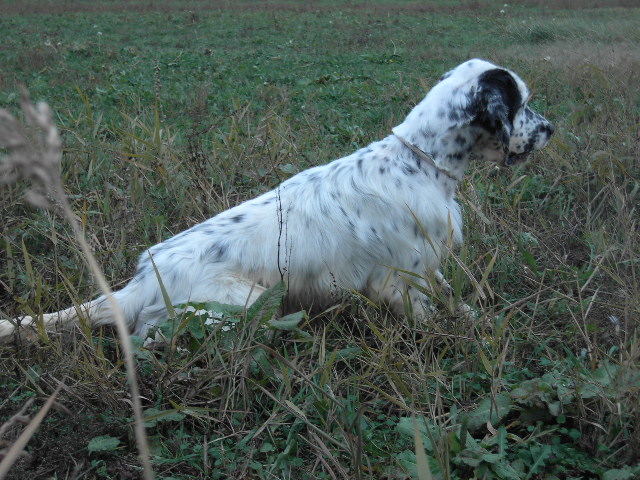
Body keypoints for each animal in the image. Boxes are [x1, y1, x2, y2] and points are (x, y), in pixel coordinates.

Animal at [0, 59, 552, 342]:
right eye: (522, 104)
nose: (550, 128)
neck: (419, 160)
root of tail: (140, 282)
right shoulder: (401, 279)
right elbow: (428, 313)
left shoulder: (426, 267)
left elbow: (452, 298)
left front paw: (476, 318)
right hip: (238, 305)